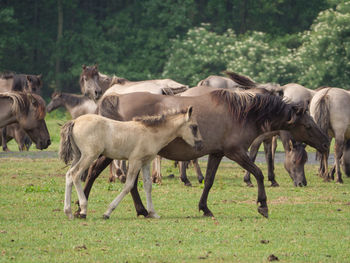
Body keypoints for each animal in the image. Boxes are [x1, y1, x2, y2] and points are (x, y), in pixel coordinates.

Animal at [59, 108, 202, 221]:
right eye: (194, 126)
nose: (200, 144)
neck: (150, 133)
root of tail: (75, 121)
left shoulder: (146, 162)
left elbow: (148, 186)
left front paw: (153, 213)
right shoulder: (135, 161)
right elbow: (128, 185)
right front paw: (108, 212)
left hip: (78, 156)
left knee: (69, 175)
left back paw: (68, 212)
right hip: (89, 156)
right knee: (75, 174)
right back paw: (83, 210)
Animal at [77, 90, 328, 219]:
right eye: (308, 125)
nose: (326, 143)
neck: (240, 113)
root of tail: (116, 98)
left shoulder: (217, 153)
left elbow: (208, 181)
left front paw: (205, 208)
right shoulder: (235, 152)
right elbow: (257, 173)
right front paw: (263, 205)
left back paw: (140, 210)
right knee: (93, 172)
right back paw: (83, 206)